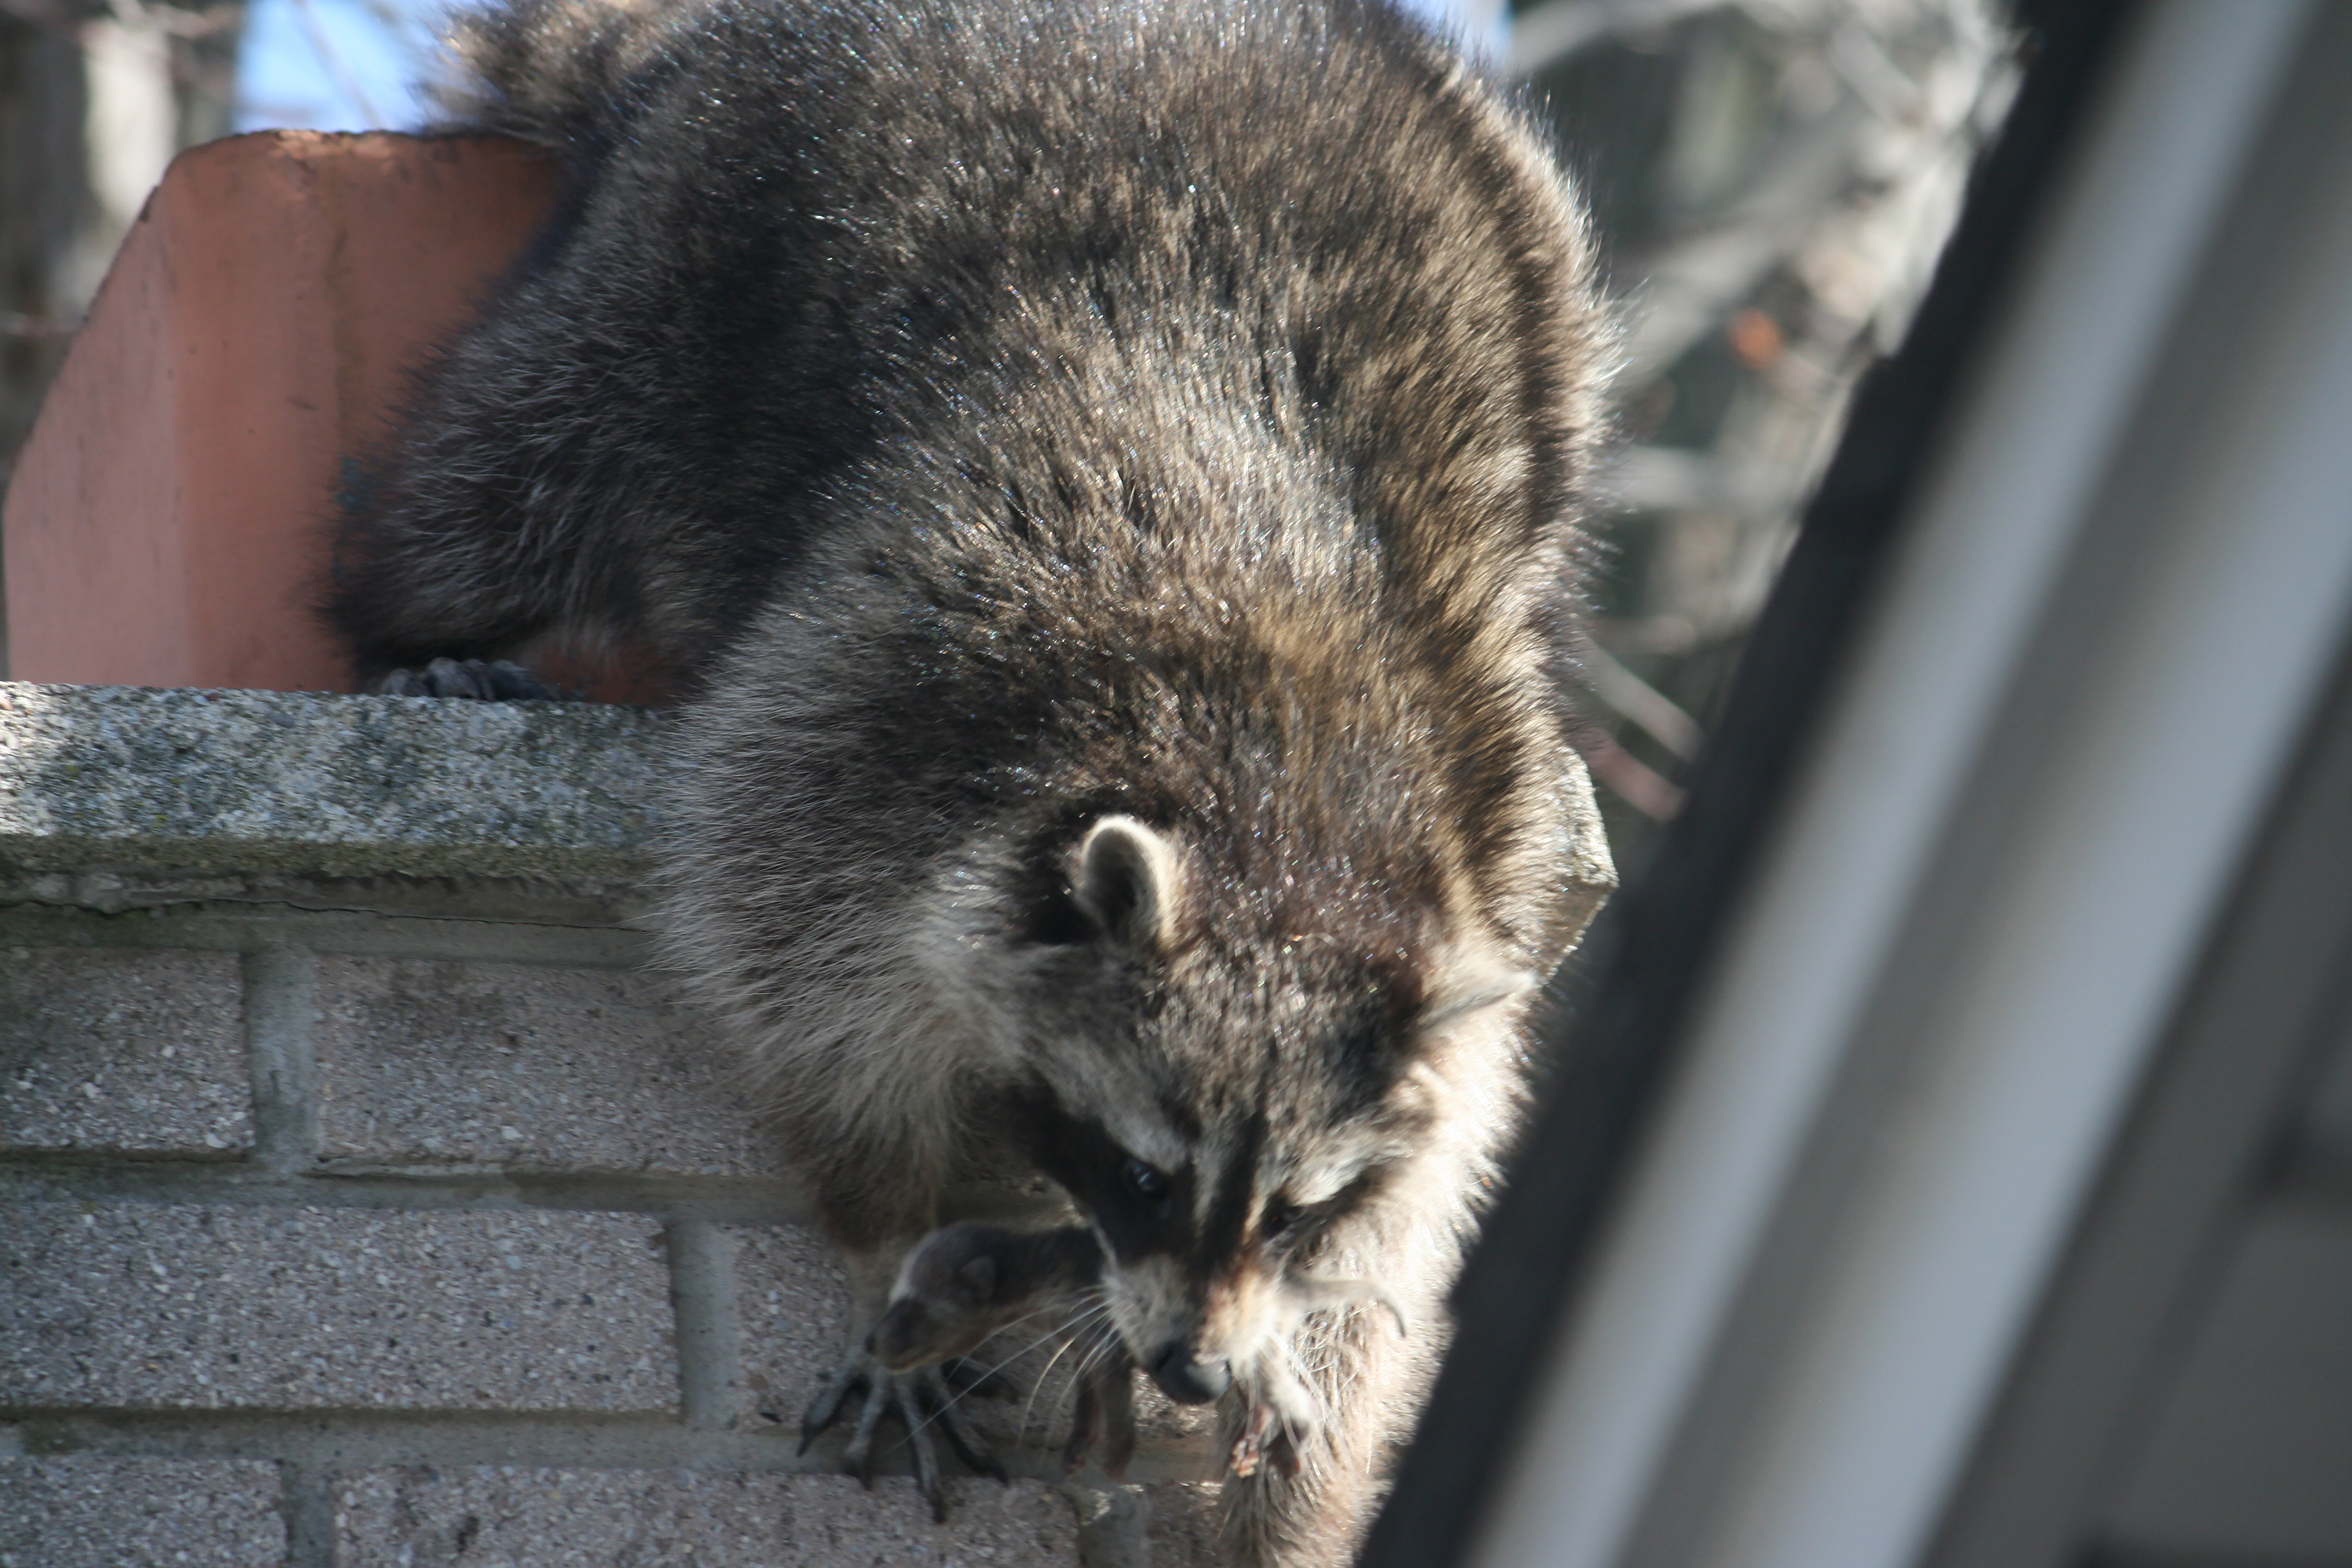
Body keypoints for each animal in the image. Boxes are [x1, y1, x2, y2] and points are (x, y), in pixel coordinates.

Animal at [327, 3, 1618, 1561]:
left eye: (1296, 1213)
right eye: (1143, 1175)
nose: (1192, 1365)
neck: (1288, 810)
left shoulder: (1491, 820)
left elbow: (1440, 1165)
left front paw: (1308, 1365)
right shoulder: (883, 698)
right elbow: (791, 979)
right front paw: (880, 1219)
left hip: (1547, 300)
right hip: (682, 247)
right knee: (511, 466)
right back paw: (413, 628)